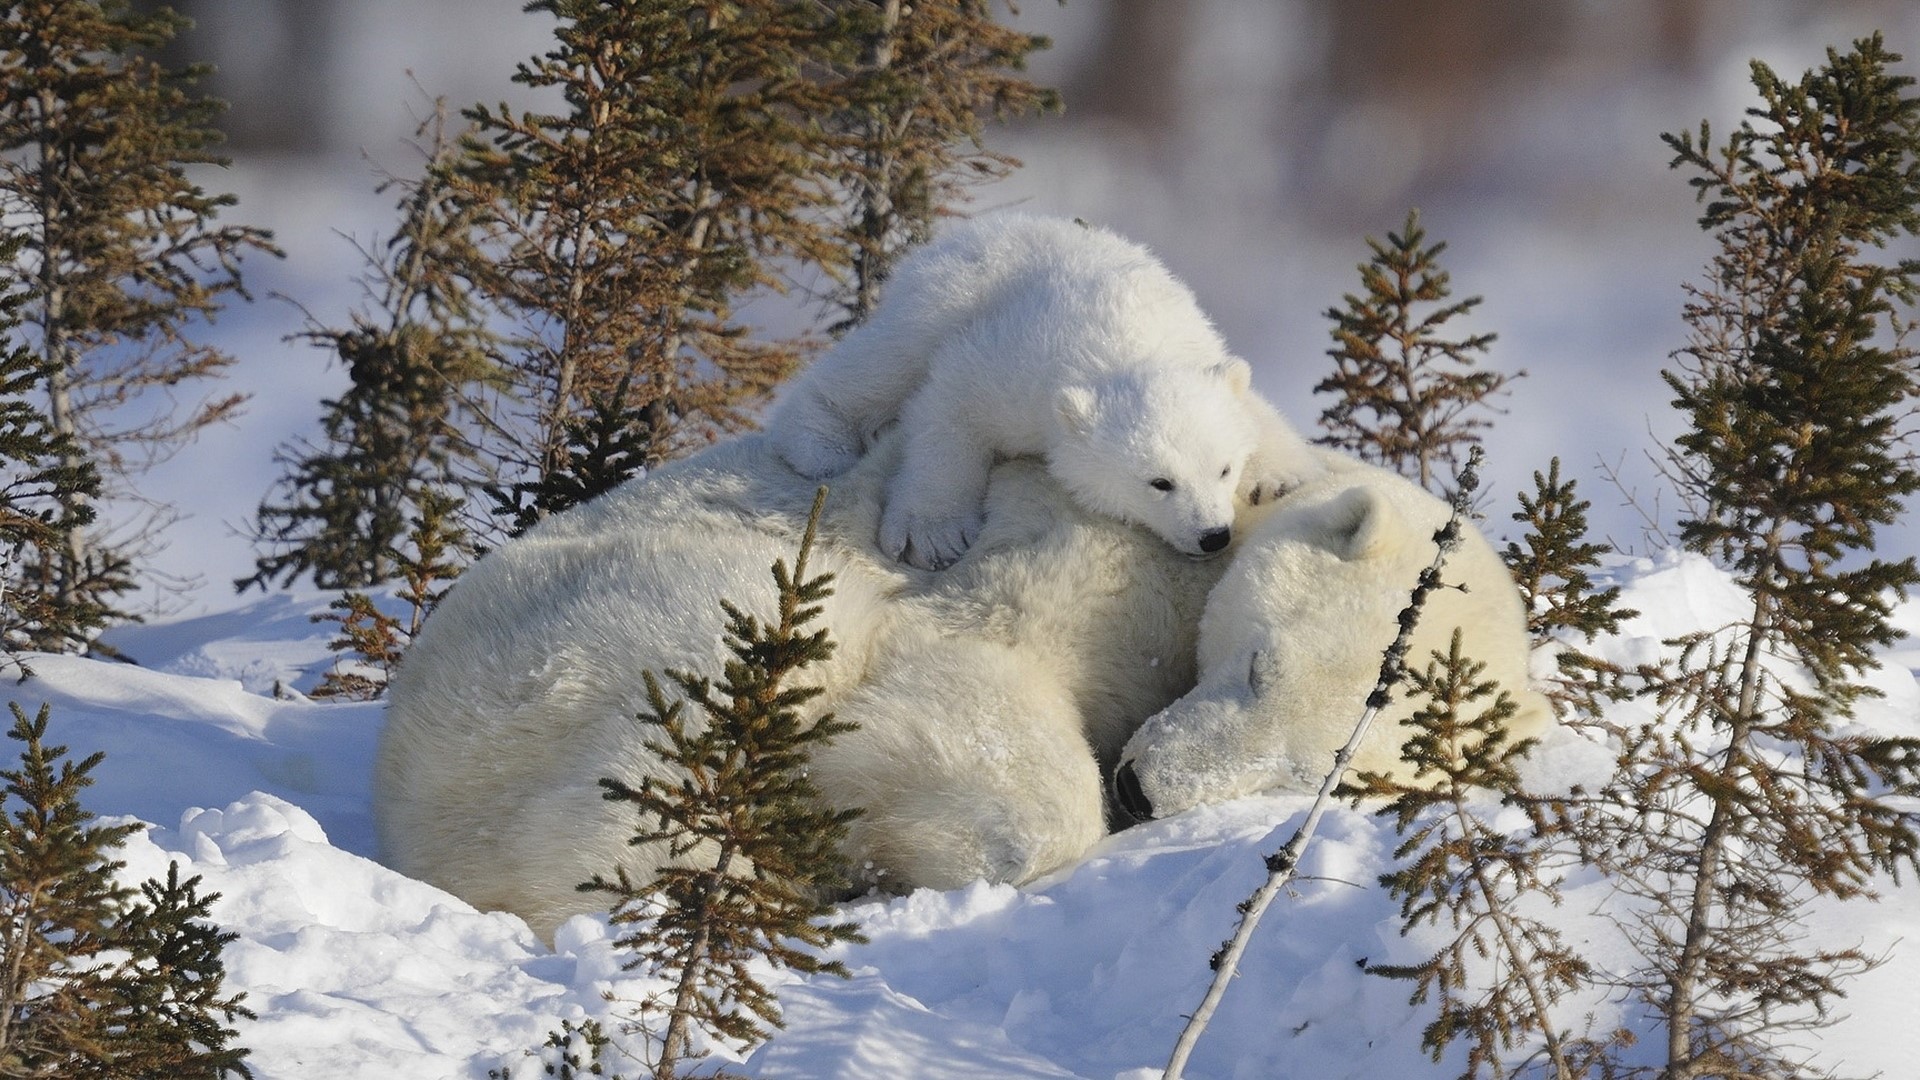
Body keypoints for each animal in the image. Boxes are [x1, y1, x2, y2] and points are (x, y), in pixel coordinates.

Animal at [766, 213, 1320, 569]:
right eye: (1159, 482)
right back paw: (820, 443)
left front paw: (1277, 474)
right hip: (941, 299)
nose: (1213, 536)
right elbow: (950, 407)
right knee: (882, 363)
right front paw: (933, 533)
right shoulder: (1013, 368)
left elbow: (1250, 406)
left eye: (1224, 469)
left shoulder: (1196, 342)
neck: (1127, 341)